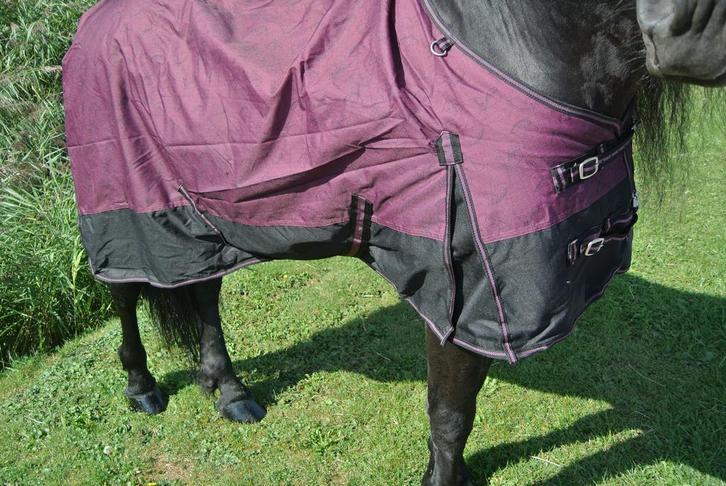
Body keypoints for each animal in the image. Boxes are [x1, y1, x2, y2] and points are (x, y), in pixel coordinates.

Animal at [61, 0, 726, 484]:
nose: (688, 37)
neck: (507, 52)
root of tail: (91, 25)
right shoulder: (464, 291)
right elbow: (452, 414)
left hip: (209, 218)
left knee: (202, 294)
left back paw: (231, 393)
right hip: (127, 207)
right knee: (124, 292)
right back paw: (143, 389)